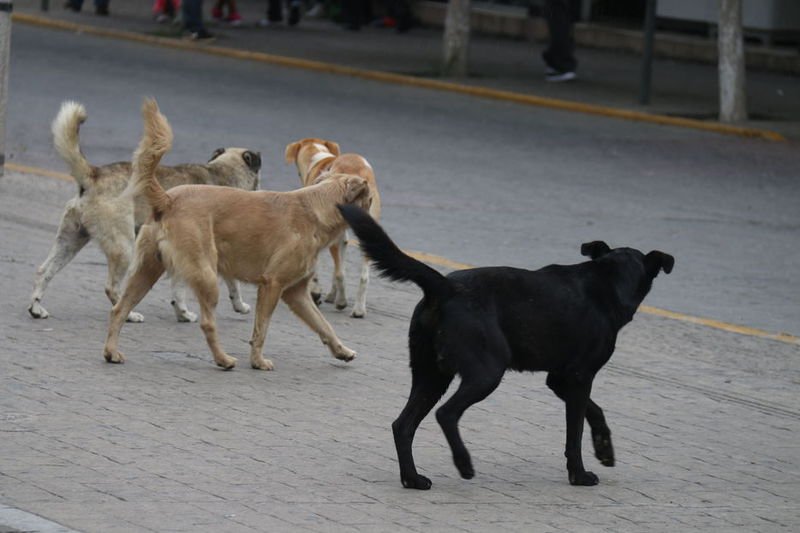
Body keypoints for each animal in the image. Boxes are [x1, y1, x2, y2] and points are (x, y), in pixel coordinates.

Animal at [29, 102, 260, 322]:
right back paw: (129, 315)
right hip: (124, 247)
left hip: (70, 241)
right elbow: (229, 284)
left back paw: (36, 308)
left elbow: (182, 290)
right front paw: (235, 306)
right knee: (113, 289)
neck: (222, 172)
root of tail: (94, 175)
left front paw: (183, 313)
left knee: (43, 271)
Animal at [102, 100, 372, 370]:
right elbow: (261, 329)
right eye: (368, 200)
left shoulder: (296, 293)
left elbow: (324, 326)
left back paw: (111, 351)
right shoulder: (273, 285)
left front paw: (342, 351)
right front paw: (257, 361)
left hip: (146, 271)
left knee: (119, 310)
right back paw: (223, 359)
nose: (373, 224)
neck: (316, 208)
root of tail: (167, 199)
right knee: (207, 323)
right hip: (206, 276)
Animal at [284, 139, 382, 318]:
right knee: (362, 276)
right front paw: (330, 294)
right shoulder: (340, 237)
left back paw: (342, 302)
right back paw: (359, 309)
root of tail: (357, 173)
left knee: (340, 273)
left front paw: (316, 292)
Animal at [338, 206, 676, 488]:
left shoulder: (560, 378)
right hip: (486, 371)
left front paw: (604, 448)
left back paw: (413, 478)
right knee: (446, 414)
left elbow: (595, 409)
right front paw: (579, 475)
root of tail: (446, 287)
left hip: (431, 374)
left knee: (403, 425)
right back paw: (463, 463)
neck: (607, 281)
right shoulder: (580, 377)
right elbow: (575, 432)